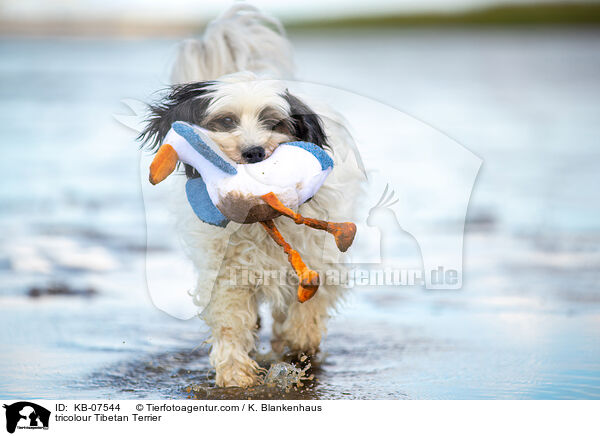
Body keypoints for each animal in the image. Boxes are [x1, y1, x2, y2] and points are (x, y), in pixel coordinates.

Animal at [141, 2, 364, 384]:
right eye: (226, 121)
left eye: (272, 122)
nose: (254, 152)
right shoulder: (228, 269)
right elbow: (231, 318)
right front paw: (235, 373)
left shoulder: (318, 257)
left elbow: (309, 308)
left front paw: (299, 344)